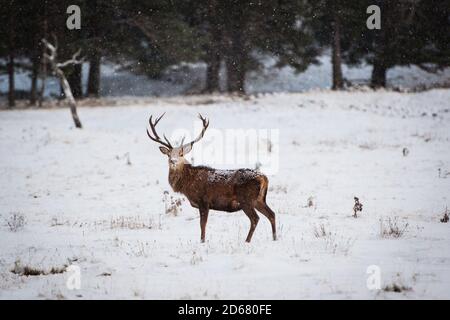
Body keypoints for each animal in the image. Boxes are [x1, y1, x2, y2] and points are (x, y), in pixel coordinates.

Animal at [147, 113, 278, 242]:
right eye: (169, 154)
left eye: (181, 154)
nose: (173, 161)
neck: (187, 183)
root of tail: (264, 178)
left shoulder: (204, 201)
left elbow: (202, 224)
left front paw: (202, 241)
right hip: (259, 199)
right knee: (272, 214)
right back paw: (275, 238)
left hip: (246, 199)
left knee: (255, 219)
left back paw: (247, 241)